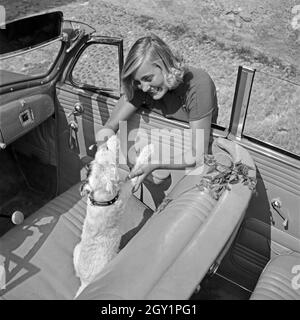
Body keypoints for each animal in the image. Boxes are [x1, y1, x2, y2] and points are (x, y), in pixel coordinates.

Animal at [72, 135, 152, 298]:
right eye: (107, 148)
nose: (112, 136)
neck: (101, 199)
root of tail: (85, 283)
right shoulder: (126, 190)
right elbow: (134, 172)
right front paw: (147, 150)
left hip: (76, 249)